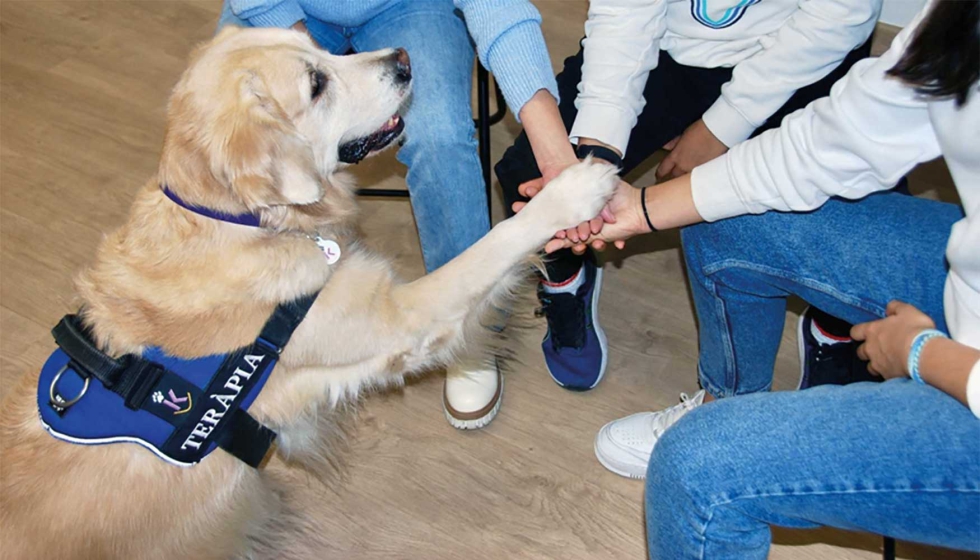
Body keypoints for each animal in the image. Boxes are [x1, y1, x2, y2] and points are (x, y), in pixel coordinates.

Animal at [0, 24, 616, 556]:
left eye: (320, 48)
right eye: (316, 85)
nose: (403, 59)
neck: (243, 221)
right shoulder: (397, 317)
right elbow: (492, 244)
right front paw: (572, 191)